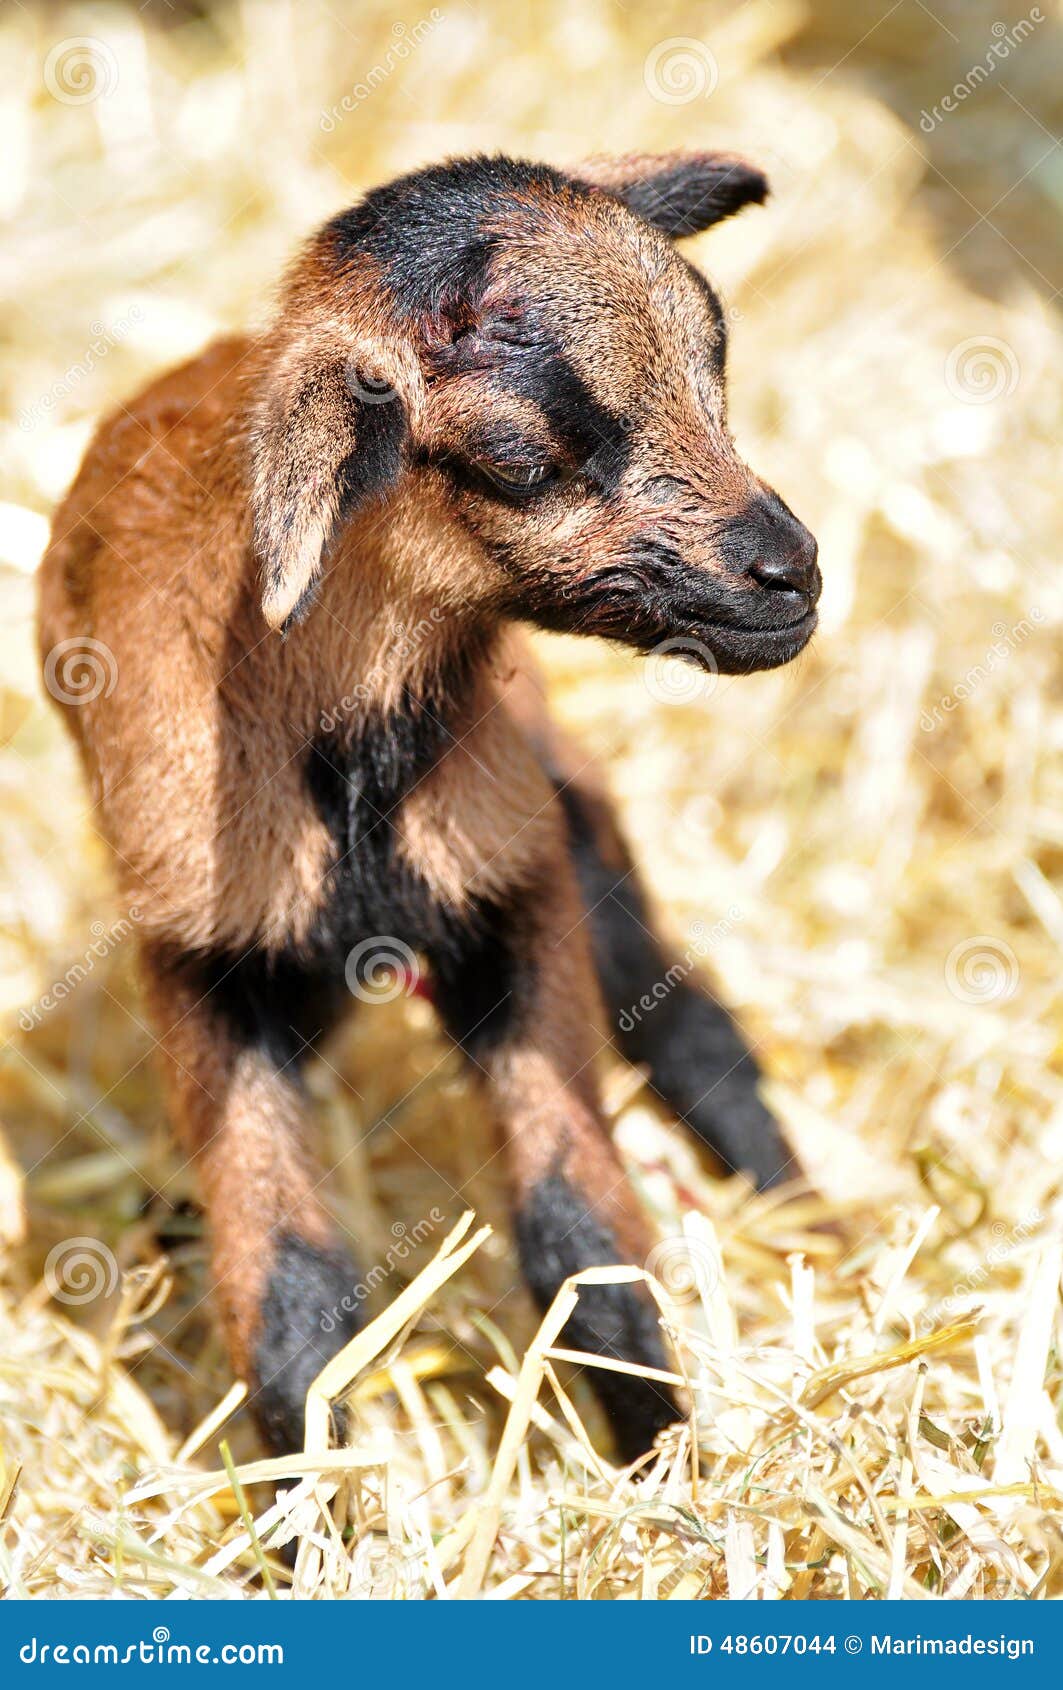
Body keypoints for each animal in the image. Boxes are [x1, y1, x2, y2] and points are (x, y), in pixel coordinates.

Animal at [37, 151, 820, 1461]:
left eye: (714, 371)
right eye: (519, 458)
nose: (791, 575)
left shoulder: (518, 888)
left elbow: (579, 1233)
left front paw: (661, 1465)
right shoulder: (208, 964)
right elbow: (286, 1282)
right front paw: (304, 1504)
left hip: (565, 801)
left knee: (687, 1021)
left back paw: (804, 1213)